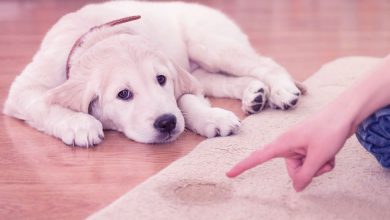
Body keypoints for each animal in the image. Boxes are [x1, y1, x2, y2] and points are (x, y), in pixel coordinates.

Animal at [2, 1, 304, 147]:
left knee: (265, 63)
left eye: (161, 80)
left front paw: (212, 118)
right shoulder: (24, 90)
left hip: (211, 45)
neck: (97, 35)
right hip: (202, 67)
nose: (167, 123)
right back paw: (254, 94)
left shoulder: (179, 79)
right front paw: (80, 124)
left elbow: (185, 100)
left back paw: (281, 91)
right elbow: (45, 104)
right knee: (221, 81)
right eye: (123, 94)